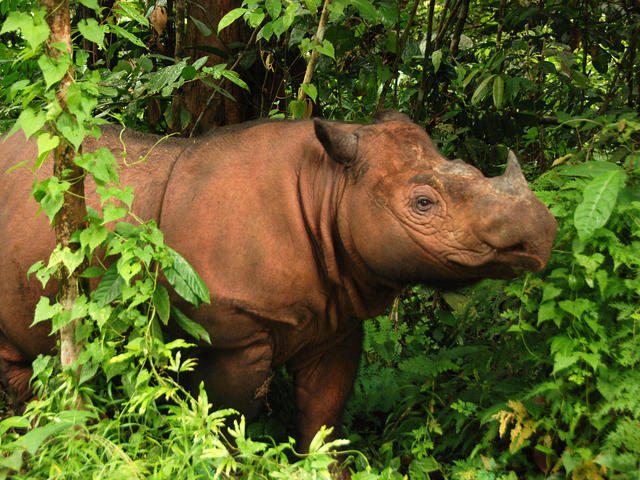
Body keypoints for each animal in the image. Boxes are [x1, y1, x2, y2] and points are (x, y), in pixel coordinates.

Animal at [0, 111, 556, 450]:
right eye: (423, 203)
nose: (541, 234)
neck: (330, 187)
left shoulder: (337, 319)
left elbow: (322, 418)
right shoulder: (230, 334)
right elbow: (228, 419)